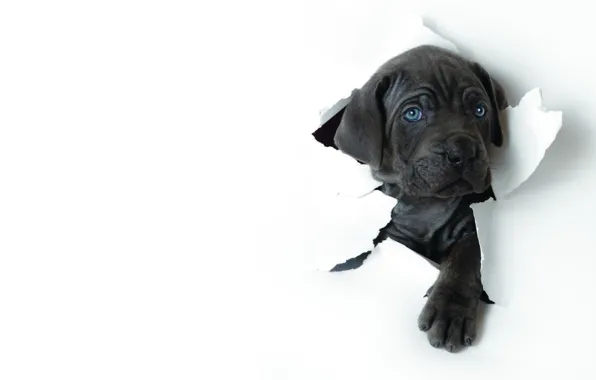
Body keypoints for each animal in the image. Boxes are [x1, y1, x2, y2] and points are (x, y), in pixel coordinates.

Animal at [330, 45, 508, 354]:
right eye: (413, 114)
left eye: (480, 110)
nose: (463, 150)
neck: (426, 203)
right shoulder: (391, 235)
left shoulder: (471, 225)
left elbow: (467, 258)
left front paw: (450, 307)